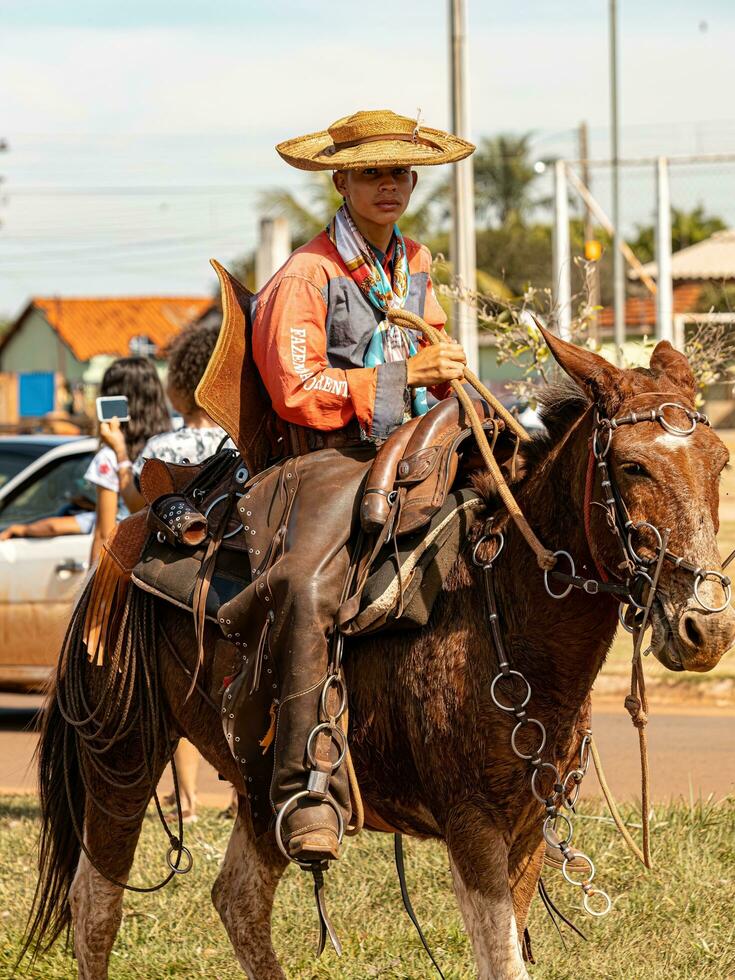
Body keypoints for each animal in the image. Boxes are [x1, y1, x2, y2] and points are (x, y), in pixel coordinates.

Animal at [24, 334, 735, 976]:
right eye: (633, 466)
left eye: (720, 462)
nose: (705, 629)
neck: (501, 606)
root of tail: (132, 532)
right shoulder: (472, 825)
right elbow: (503, 960)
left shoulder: (530, 827)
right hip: (123, 755)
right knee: (96, 907)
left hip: (258, 784)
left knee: (238, 901)